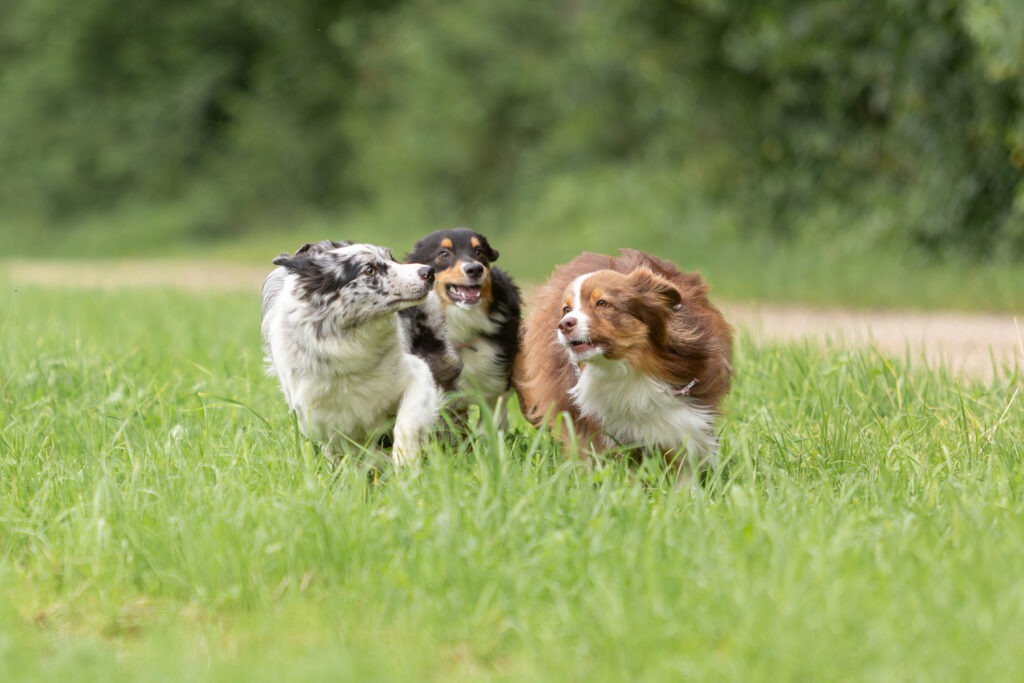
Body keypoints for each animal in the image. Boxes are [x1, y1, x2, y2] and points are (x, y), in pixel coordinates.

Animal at [262, 239, 446, 464]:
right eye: (369, 270)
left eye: (391, 258)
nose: (429, 271)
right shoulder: (321, 420)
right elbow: (352, 449)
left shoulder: (418, 374)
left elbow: (407, 421)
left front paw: (405, 460)